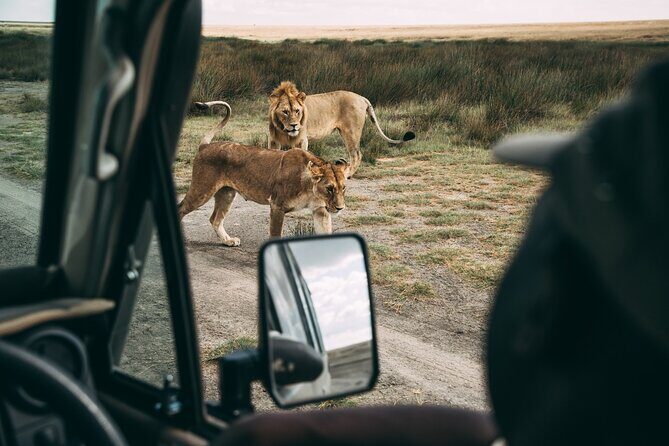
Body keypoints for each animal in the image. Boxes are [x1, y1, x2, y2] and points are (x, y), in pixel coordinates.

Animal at [178, 101, 349, 246]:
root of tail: (205, 146)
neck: (310, 189)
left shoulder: (321, 210)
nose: (340, 208)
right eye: (329, 188)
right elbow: (275, 235)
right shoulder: (277, 206)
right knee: (181, 208)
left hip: (227, 193)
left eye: (343, 188)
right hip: (202, 190)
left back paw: (229, 241)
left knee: (215, 219)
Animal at [267, 81, 415, 177]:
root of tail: (362, 97)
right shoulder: (274, 141)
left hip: (351, 132)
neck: (283, 129)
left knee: (356, 154)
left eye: (297, 111)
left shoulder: (301, 140)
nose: (294, 125)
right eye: (285, 112)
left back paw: (347, 174)